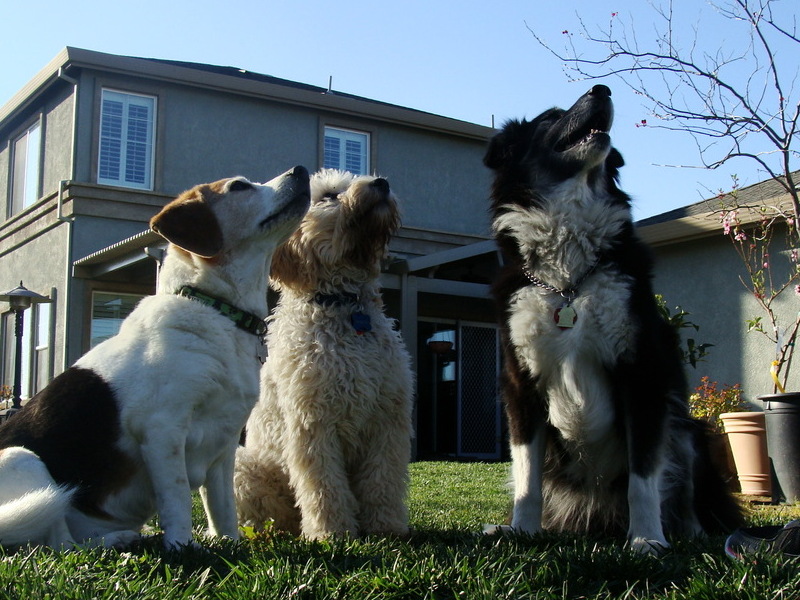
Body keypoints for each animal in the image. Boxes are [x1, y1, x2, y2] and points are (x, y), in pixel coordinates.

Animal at [0, 166, 310, 552]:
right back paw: (121, 539)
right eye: (239, 186)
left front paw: (230, 543)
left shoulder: (225, 446)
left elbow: (223, 509)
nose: (301, 170)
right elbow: (176, 500)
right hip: (24, 462)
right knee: (60, 543)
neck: (213, 308)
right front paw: (182, 547)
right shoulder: (162, 430)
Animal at [234, 169, 412, 540]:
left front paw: (386, 526)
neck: (343, 305)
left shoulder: (388, 418)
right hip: (244, 467)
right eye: (329, 195)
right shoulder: (312, 423)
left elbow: (383, 479)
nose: (382, 183)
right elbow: (323, 486)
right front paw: (332, 532)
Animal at [484, 84, 740, 552]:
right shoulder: (521, 383)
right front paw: (522, 530)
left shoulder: (642, 374)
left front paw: (646, 539)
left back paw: (690, 534)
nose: (601, 90)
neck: (568, 279)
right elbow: (527, 476)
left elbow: (644, 478)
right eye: (550, 117)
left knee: (687, 495)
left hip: (687, 430)